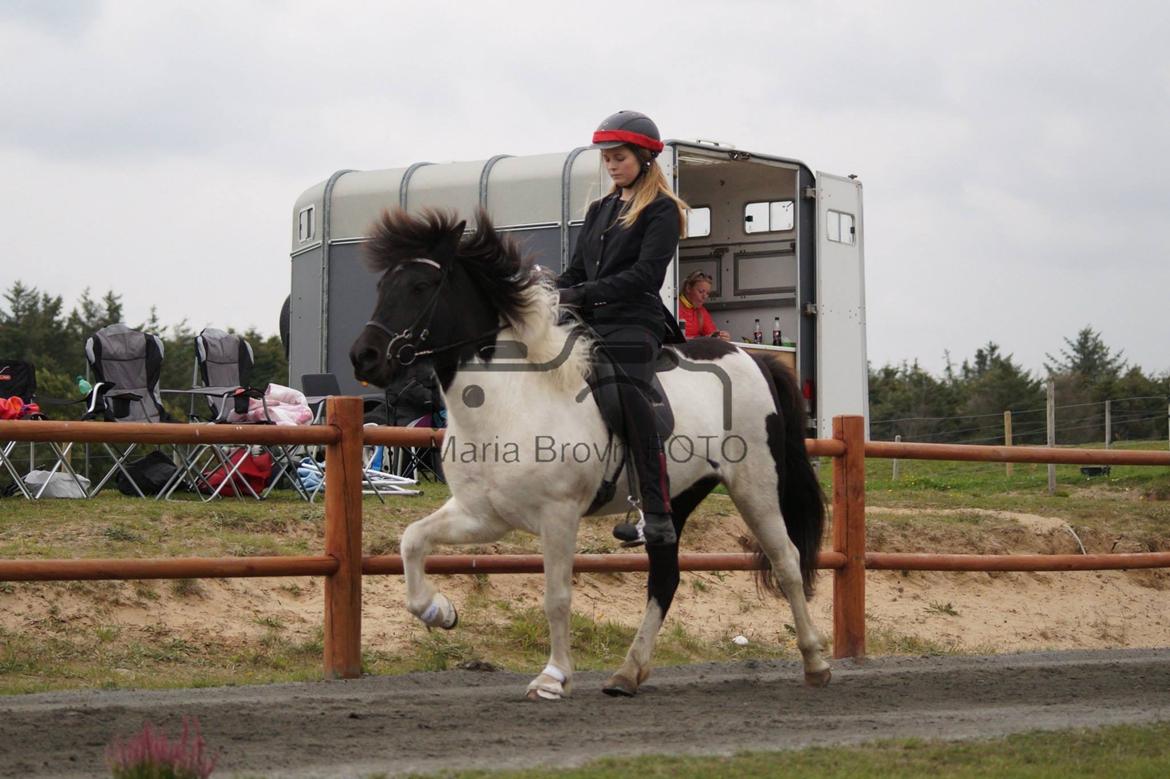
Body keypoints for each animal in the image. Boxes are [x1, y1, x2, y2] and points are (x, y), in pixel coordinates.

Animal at [346, 208, 833, 697]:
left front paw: (553, 676)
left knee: (787, 562)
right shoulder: (482, 515)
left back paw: (815, 662)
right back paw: (627, 673)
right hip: (676, 498)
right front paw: (439, 612)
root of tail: (752, 357)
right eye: (383, 286)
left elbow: (557, 597)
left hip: (755, 485)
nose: (363, 357)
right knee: (666, 576)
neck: (507, 401)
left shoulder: (558, 514)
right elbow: (412, 540)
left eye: (420, 286)